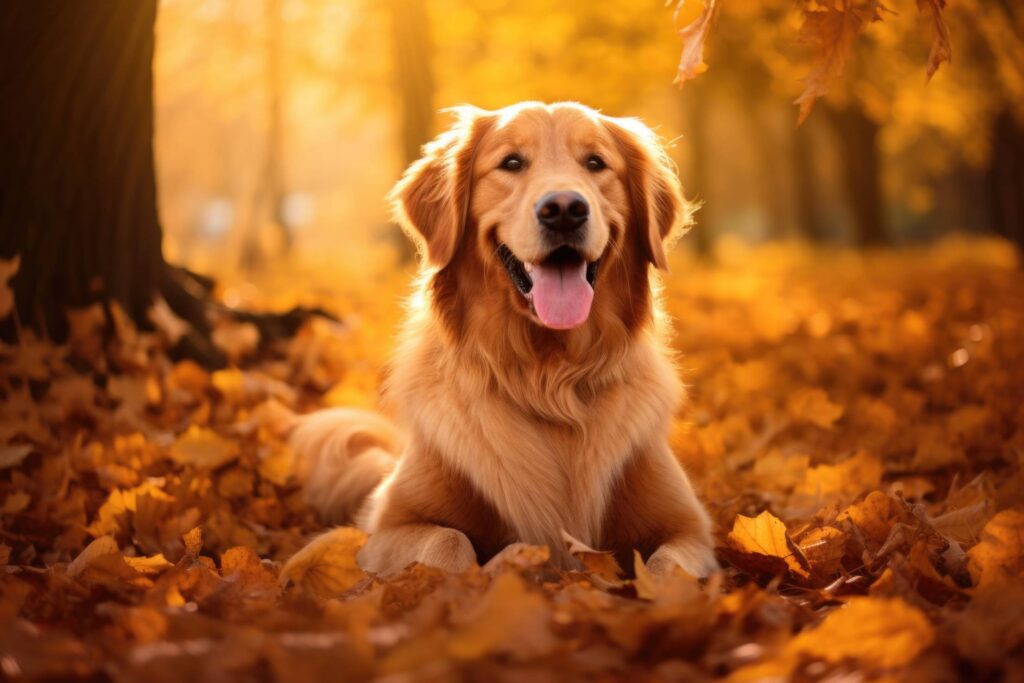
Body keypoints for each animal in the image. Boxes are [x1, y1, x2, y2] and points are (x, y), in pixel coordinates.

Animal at [288, 101, 716, 581]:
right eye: (511, 162)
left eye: (595, 163)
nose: (564, 209)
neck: (548, 378)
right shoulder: (389, 527)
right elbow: (448, 543)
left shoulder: (689, 529)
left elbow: (667, 572)